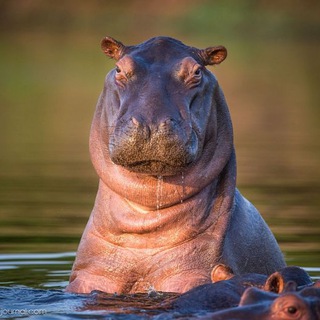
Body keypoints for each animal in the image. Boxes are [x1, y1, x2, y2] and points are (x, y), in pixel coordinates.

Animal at [67, 36, 284, 294]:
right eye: (119, 69)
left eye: (197, 72)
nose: (150, 123)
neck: (146, 216)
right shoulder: (91, 276)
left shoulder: (192, 274)